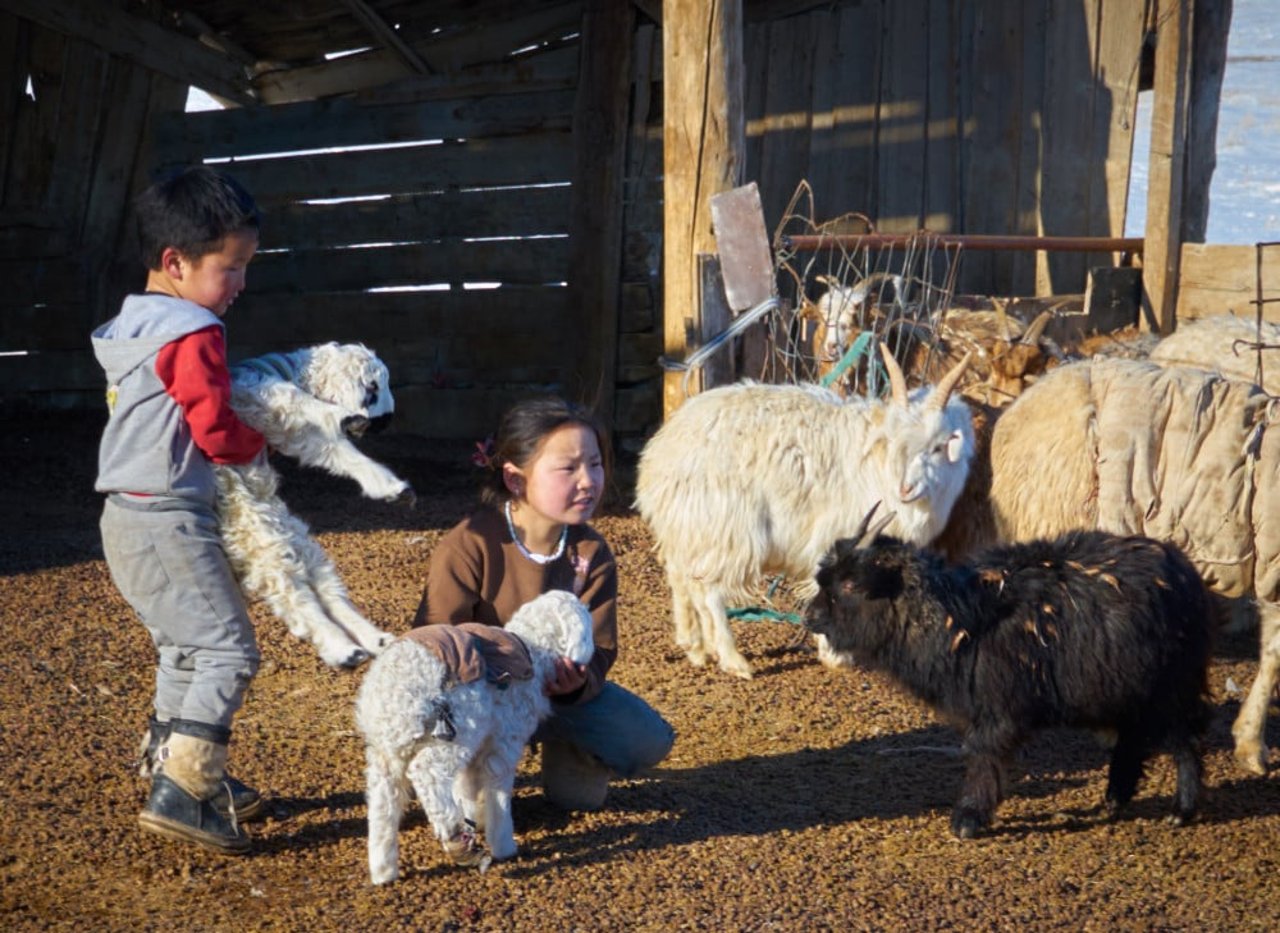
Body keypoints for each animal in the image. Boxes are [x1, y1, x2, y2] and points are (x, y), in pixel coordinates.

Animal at [217, 342, 412, 670]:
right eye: (372, 387)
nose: (387, 420)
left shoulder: (280, 423)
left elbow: (332, 449)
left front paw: (391, 487)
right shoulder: (248, 393)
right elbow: (293, 400)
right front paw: (345, 418)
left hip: (288, 531)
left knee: (325, 586)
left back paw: (373, 641)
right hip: (251, 530)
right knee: (291, 591)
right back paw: (342, 649)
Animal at [355, 588, 593, 880]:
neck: (533, 652)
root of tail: (394, 690)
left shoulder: (482, 745)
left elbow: (467, 784)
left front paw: (475, 816)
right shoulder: (504, 743)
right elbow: (498, 792)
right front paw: (504, 845)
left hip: (386, 750)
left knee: (383, 802)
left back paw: (383, 870)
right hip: (456, 730)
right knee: (427, 773)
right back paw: (456, 838)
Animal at [634, 342, 972, 675]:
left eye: (938, 447)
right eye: (894, 442)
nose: (906, 489)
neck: (877, 462)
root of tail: (660, 455)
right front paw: (836, 655)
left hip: (689, 530)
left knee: (681, 579)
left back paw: (695, 647)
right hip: (727, 530)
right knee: (710, 592)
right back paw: (733, 660)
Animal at [803, 509, 1213, 839]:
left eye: (850, 584)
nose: (809, 616)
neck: (953, 621)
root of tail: (1184, 571)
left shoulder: (997, 710)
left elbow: (986, 757)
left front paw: (968, 819)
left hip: (1170, 685)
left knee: (1185, 737)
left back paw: (1182, 809)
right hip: (1127, 689)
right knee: (1134, 737)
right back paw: (1115, 799)